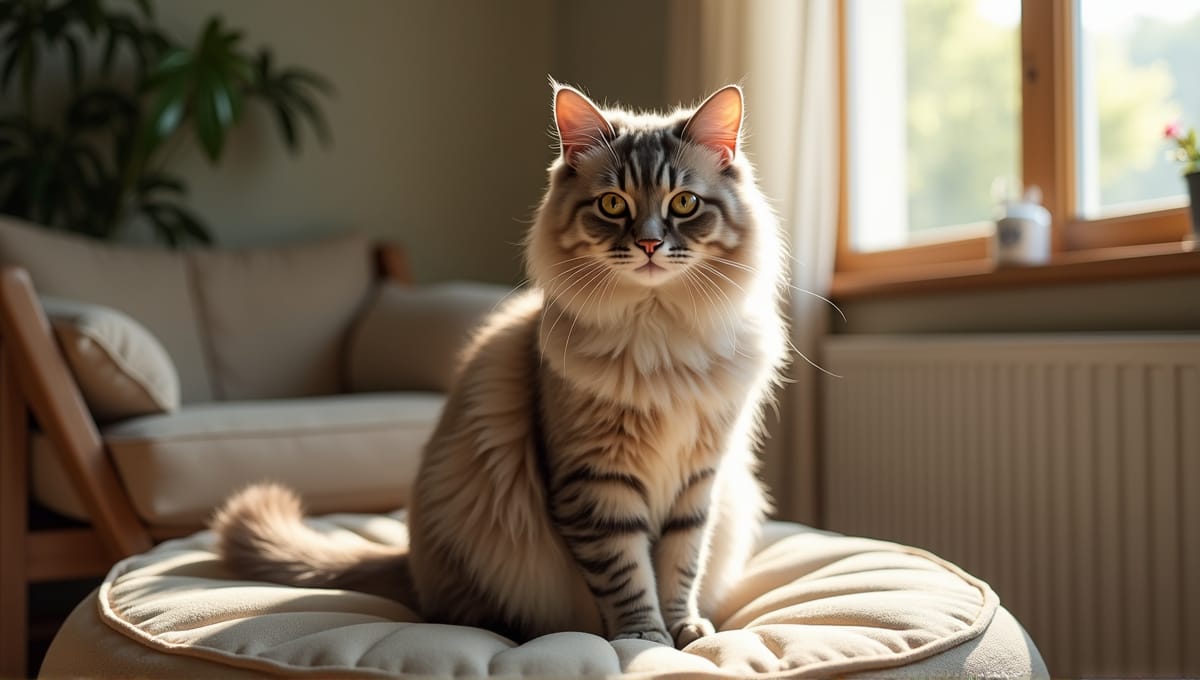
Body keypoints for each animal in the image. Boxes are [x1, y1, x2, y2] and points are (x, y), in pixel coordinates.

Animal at [211, 82, 792, 652]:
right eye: (612, 204)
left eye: (684, 203)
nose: (649, 244)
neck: (660, 340)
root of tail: (410, 559)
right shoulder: (595, 484)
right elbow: (629, 576)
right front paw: (644, 638)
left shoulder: (697, 481)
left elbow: (679, 567)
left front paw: (685, 631)